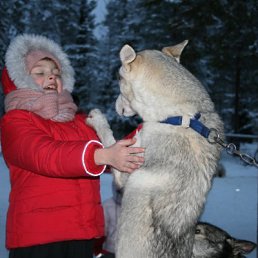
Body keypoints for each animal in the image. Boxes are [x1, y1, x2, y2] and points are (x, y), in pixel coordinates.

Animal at [87, 41, 224, 256]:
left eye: (118, 78)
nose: (115, 106)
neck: (181, 117)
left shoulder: (123, 172)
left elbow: (109, 138)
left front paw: (97, 118)